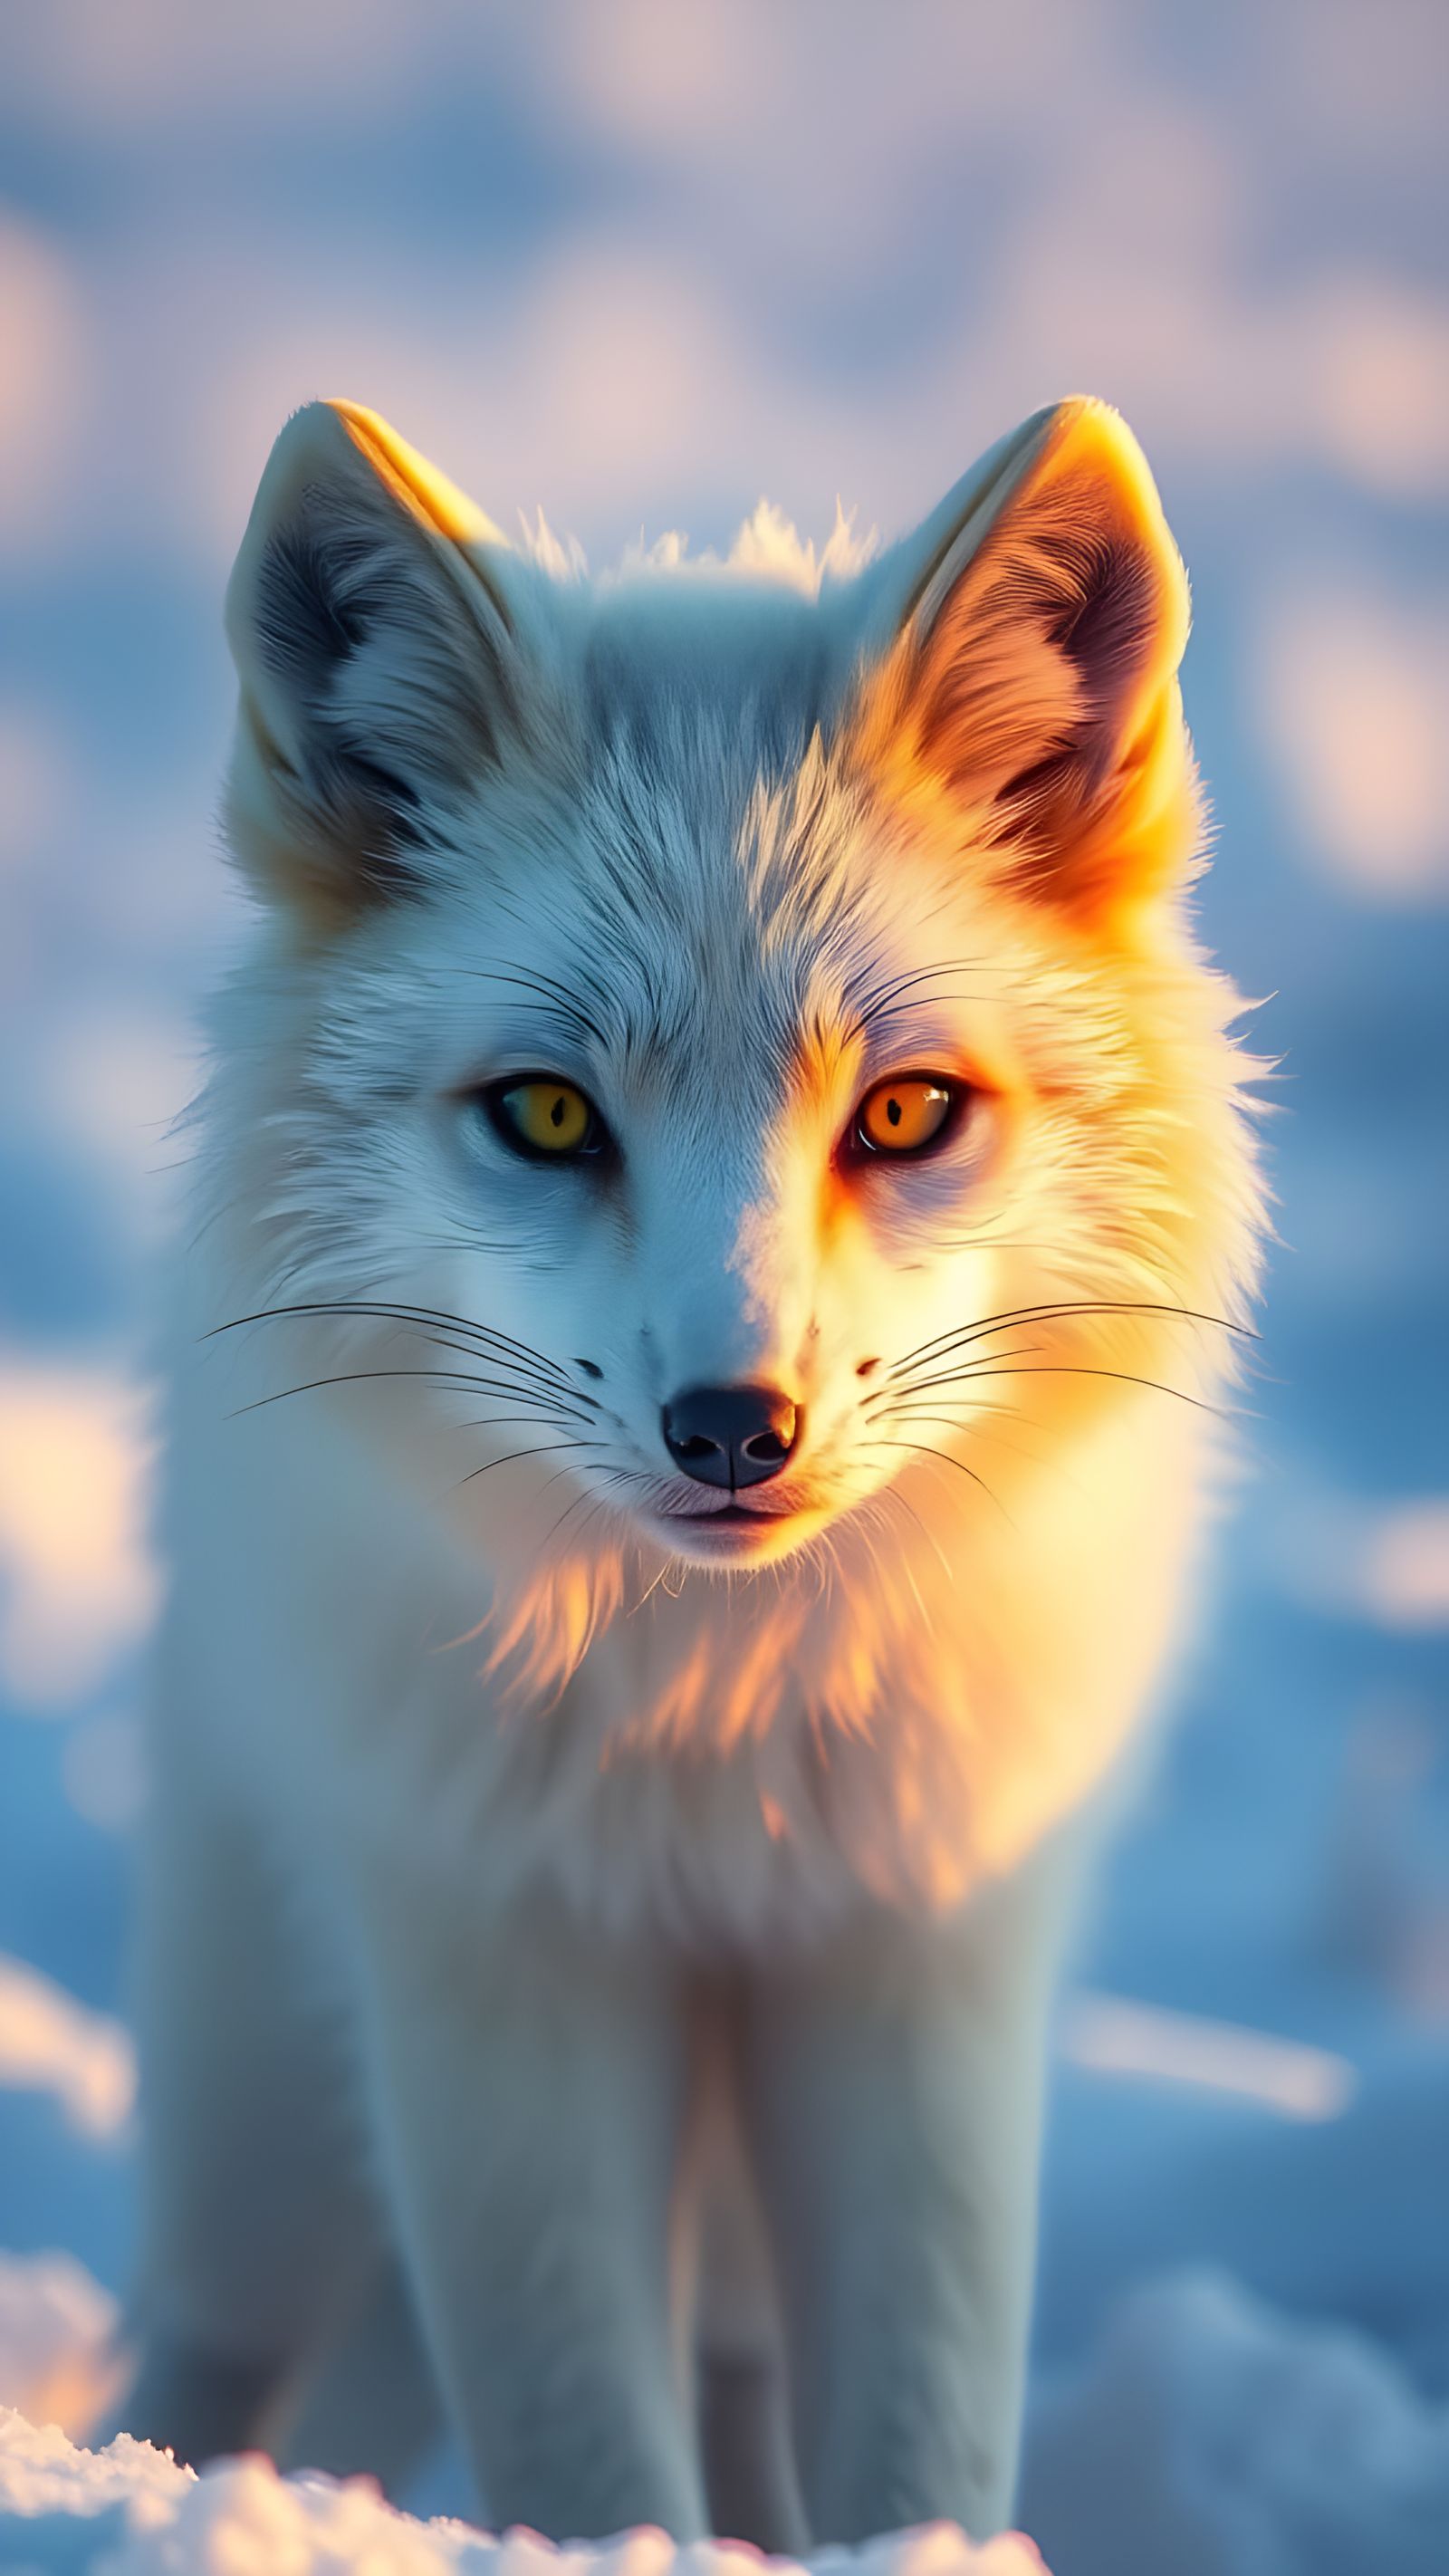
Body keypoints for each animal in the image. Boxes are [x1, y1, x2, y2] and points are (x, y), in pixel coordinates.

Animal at [115, 391, 1264, 2549]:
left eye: (901, 1113)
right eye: (551, 1115)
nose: (736, 1425)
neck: (721, 1745)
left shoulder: (919, 1960)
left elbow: (922, 2430)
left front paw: (899, 2557)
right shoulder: (490, 1967)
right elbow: (576, 2446)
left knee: (734, 2382)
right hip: (262, 2117)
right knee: (216, 2350)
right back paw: (154, 2489)